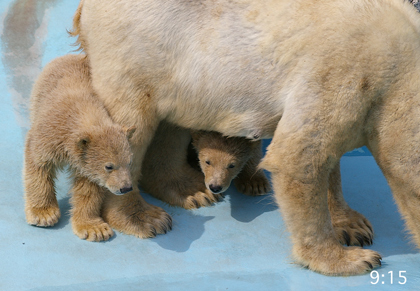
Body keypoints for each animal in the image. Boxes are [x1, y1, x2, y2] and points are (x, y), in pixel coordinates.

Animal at [70, 0, 420, 276]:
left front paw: (353, 226)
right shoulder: (343, 69)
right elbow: (297, 159)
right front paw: (350, 259)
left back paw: (191, 191)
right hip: (136, 48)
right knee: (130, 127)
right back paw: (144, 217)